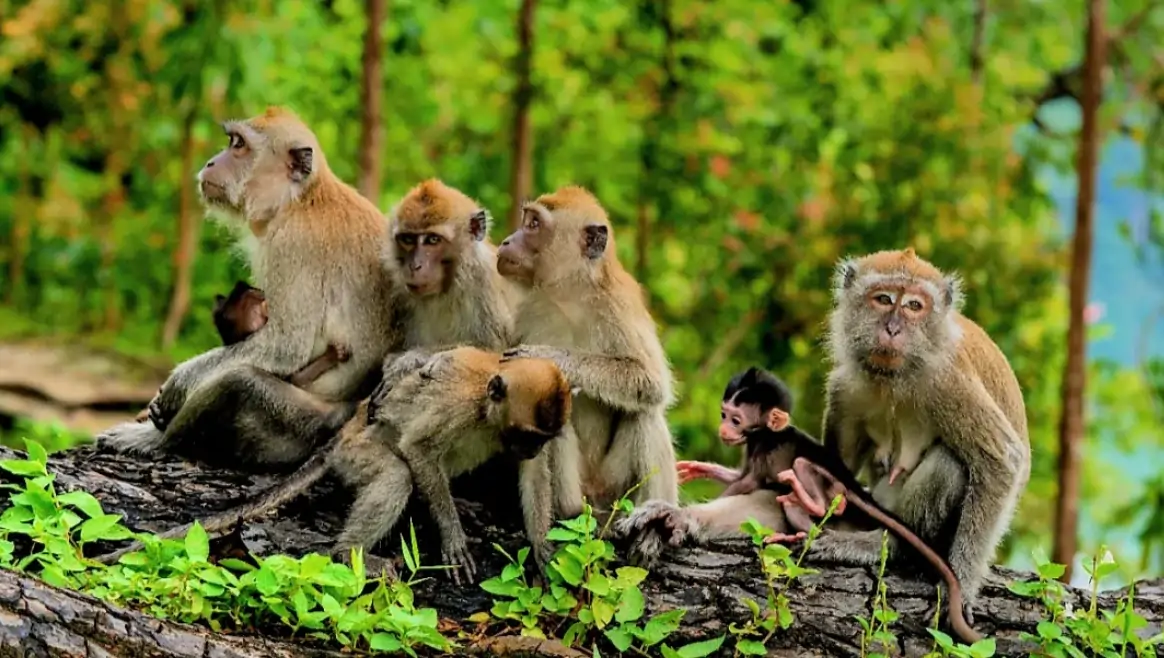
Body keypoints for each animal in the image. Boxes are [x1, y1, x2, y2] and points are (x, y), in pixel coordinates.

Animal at [95, 347, 575, 587]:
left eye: (537, 441)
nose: (529, 449)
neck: (487, 413)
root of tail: (342, 436)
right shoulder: (460, 407)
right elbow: (418, 449)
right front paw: (454, 538)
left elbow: (534, 477)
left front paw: (540, 545)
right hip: (354, 453)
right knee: (397, 472)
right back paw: (349, 551)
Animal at [96, 107, 401, 470]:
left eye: (239, 145)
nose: (212, 162)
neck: (300, 199)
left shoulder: (291, 244)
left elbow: (286, 347)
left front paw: (178, 383)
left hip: (298, 426)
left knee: (238, 383)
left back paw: (159, 441)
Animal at [496, 185, 678, 517]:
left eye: (533, 224)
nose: (507, 241)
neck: (571, 293)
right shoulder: (529, 309)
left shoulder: (620, 304)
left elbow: (650, 380)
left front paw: (551, 357)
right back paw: (569, 512)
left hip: (617, 488)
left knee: (644, 412)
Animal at [805, 247, 1029, 625]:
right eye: (883, 299)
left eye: (913, 306)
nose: (893, 328)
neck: (894, 377)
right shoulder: (845, 387)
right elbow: (839, 462)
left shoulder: (948, 382)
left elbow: (1002, 462)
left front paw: (960, 589)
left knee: (949, 465)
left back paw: (892, 545)